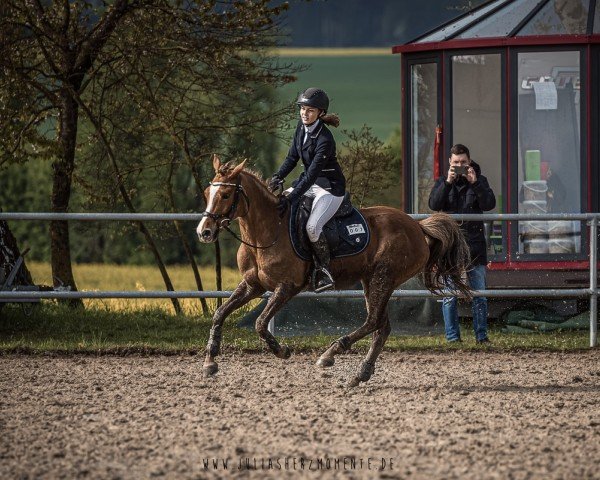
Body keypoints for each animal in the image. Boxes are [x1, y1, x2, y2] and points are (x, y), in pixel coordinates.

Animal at [199, 156, 472, 388]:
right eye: (207, 193)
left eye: (225, 194)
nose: (204, 232)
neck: (267, 230)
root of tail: (417, 225)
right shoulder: (252, 285)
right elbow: (220, 314)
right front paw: (210, 361)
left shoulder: (286, 287)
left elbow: (260, 323)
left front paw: (282, 351)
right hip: (372, 281)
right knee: (381, 327)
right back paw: (360, 374)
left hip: (383, 279)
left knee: (373, 322)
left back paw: (330, 354)